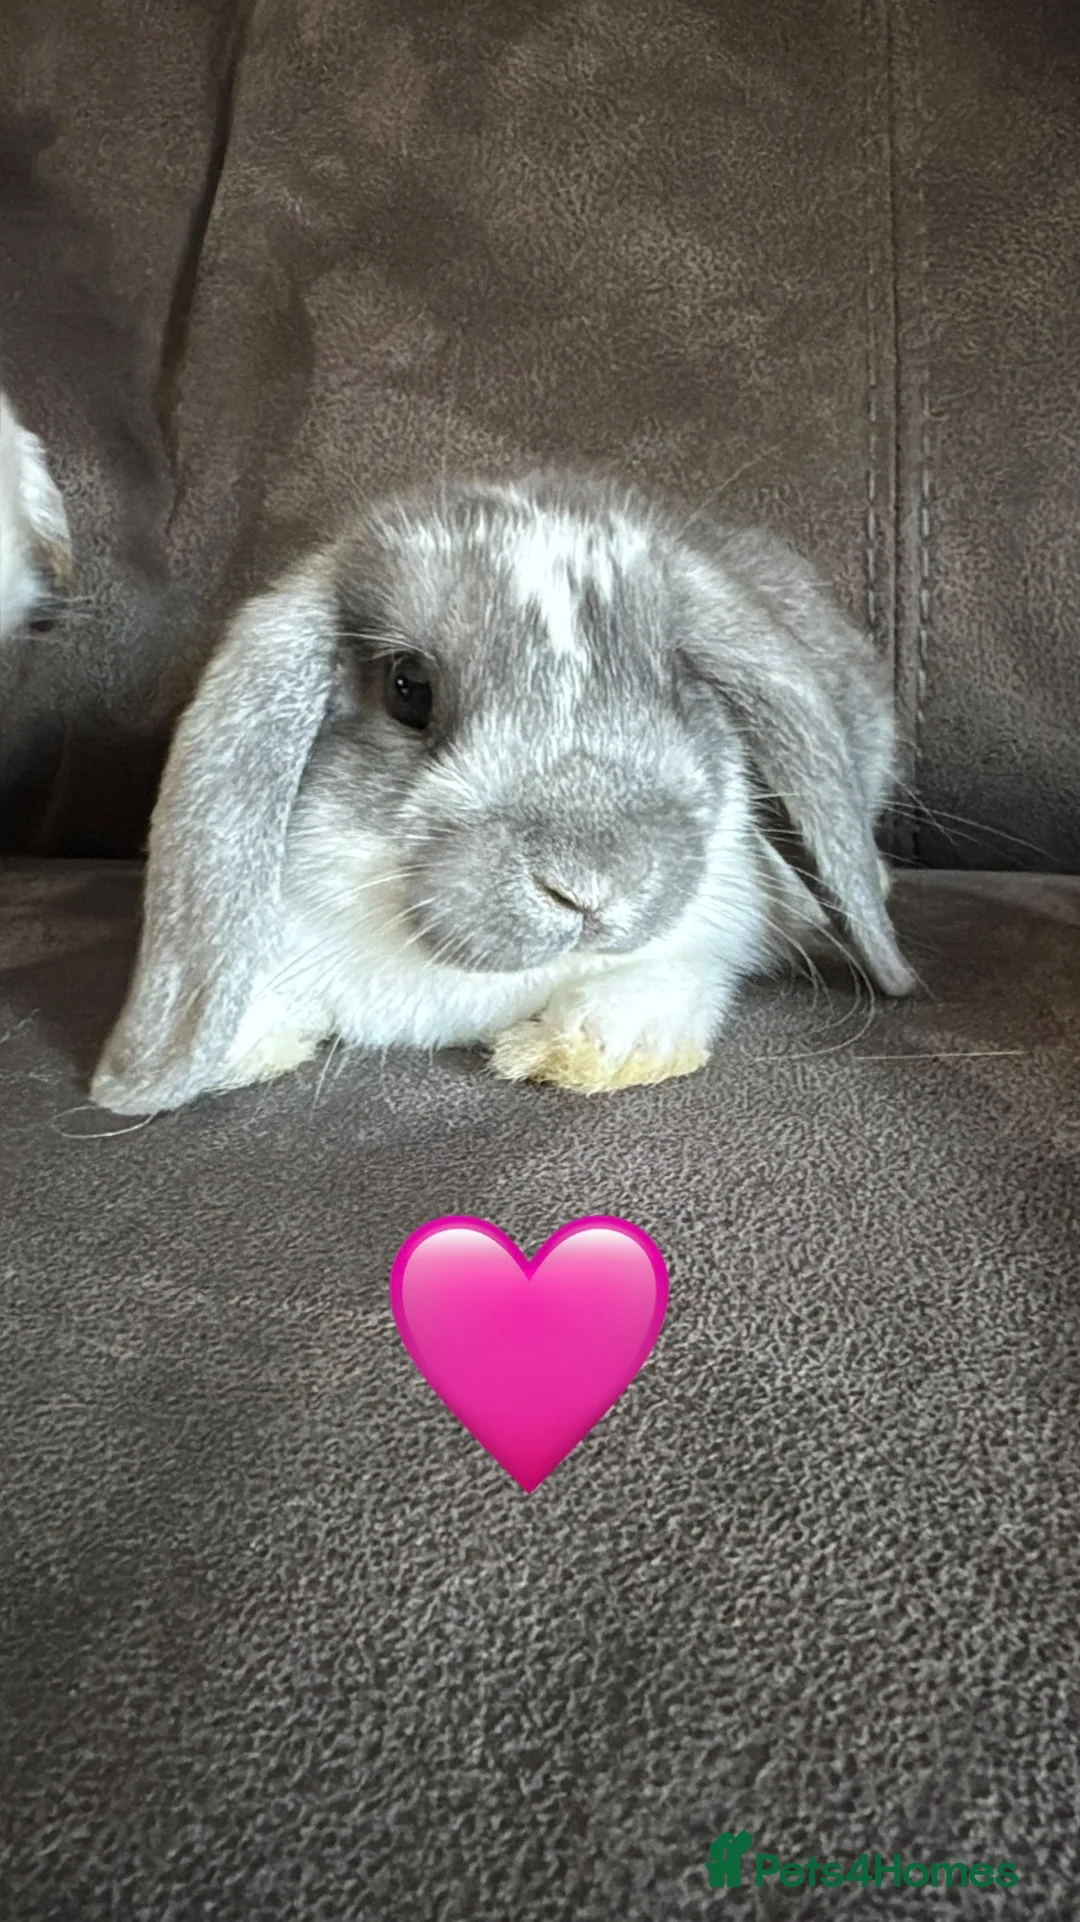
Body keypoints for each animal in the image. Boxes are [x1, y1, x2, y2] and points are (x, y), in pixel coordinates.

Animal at [91, 470, 915, 1115]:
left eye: (681, 685)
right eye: (407, 689)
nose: (590, 883)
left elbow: (662, 975)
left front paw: (598, 1048)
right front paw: (232, 1048)